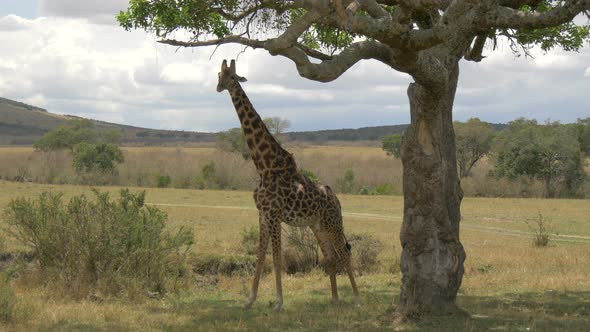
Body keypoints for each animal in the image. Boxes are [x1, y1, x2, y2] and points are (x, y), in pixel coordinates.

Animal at [215, 60, 358, 312]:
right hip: (317, 225)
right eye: (218, 75)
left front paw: (279, 302)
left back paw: (358, 298)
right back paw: (334, 298)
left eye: (232, 77)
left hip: (332, 223)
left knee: (344, 252)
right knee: (330, 256)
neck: (264, 166)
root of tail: (337, 201)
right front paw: (250, 300)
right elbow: (260, 256)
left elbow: (276, 257)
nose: (219, 87)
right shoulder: (262, 213)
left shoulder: (274, 214)